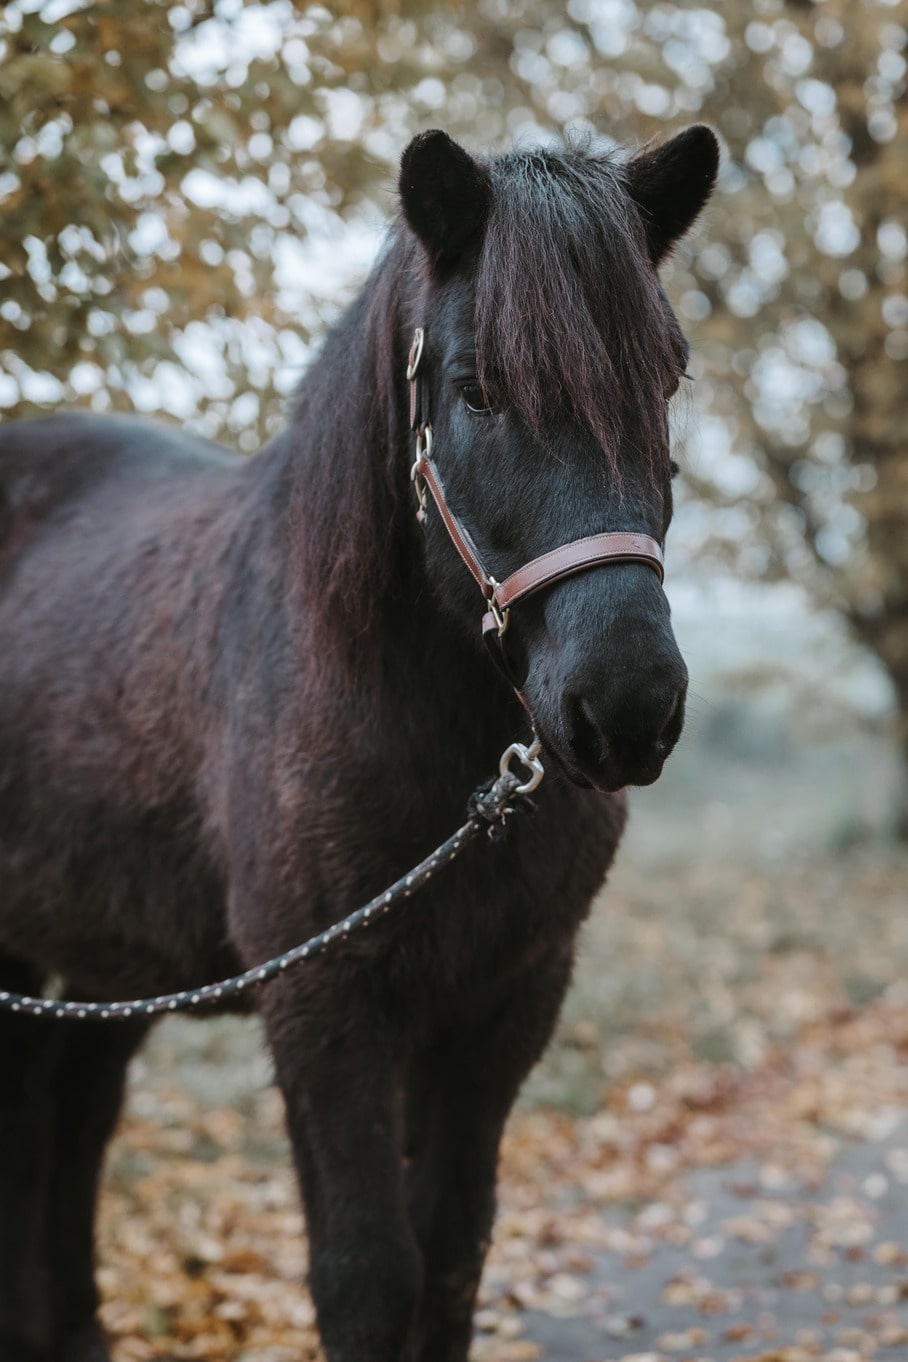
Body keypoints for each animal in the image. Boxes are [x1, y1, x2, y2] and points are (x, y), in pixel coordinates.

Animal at [0, 125, 718, 1362]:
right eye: (477, 388)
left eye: (662, 380)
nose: (624, 705)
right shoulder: (326, 1007)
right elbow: (369, 1275)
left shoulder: (506, 1002)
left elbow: (452, 1256)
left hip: (110, 953)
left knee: (68, 1118)